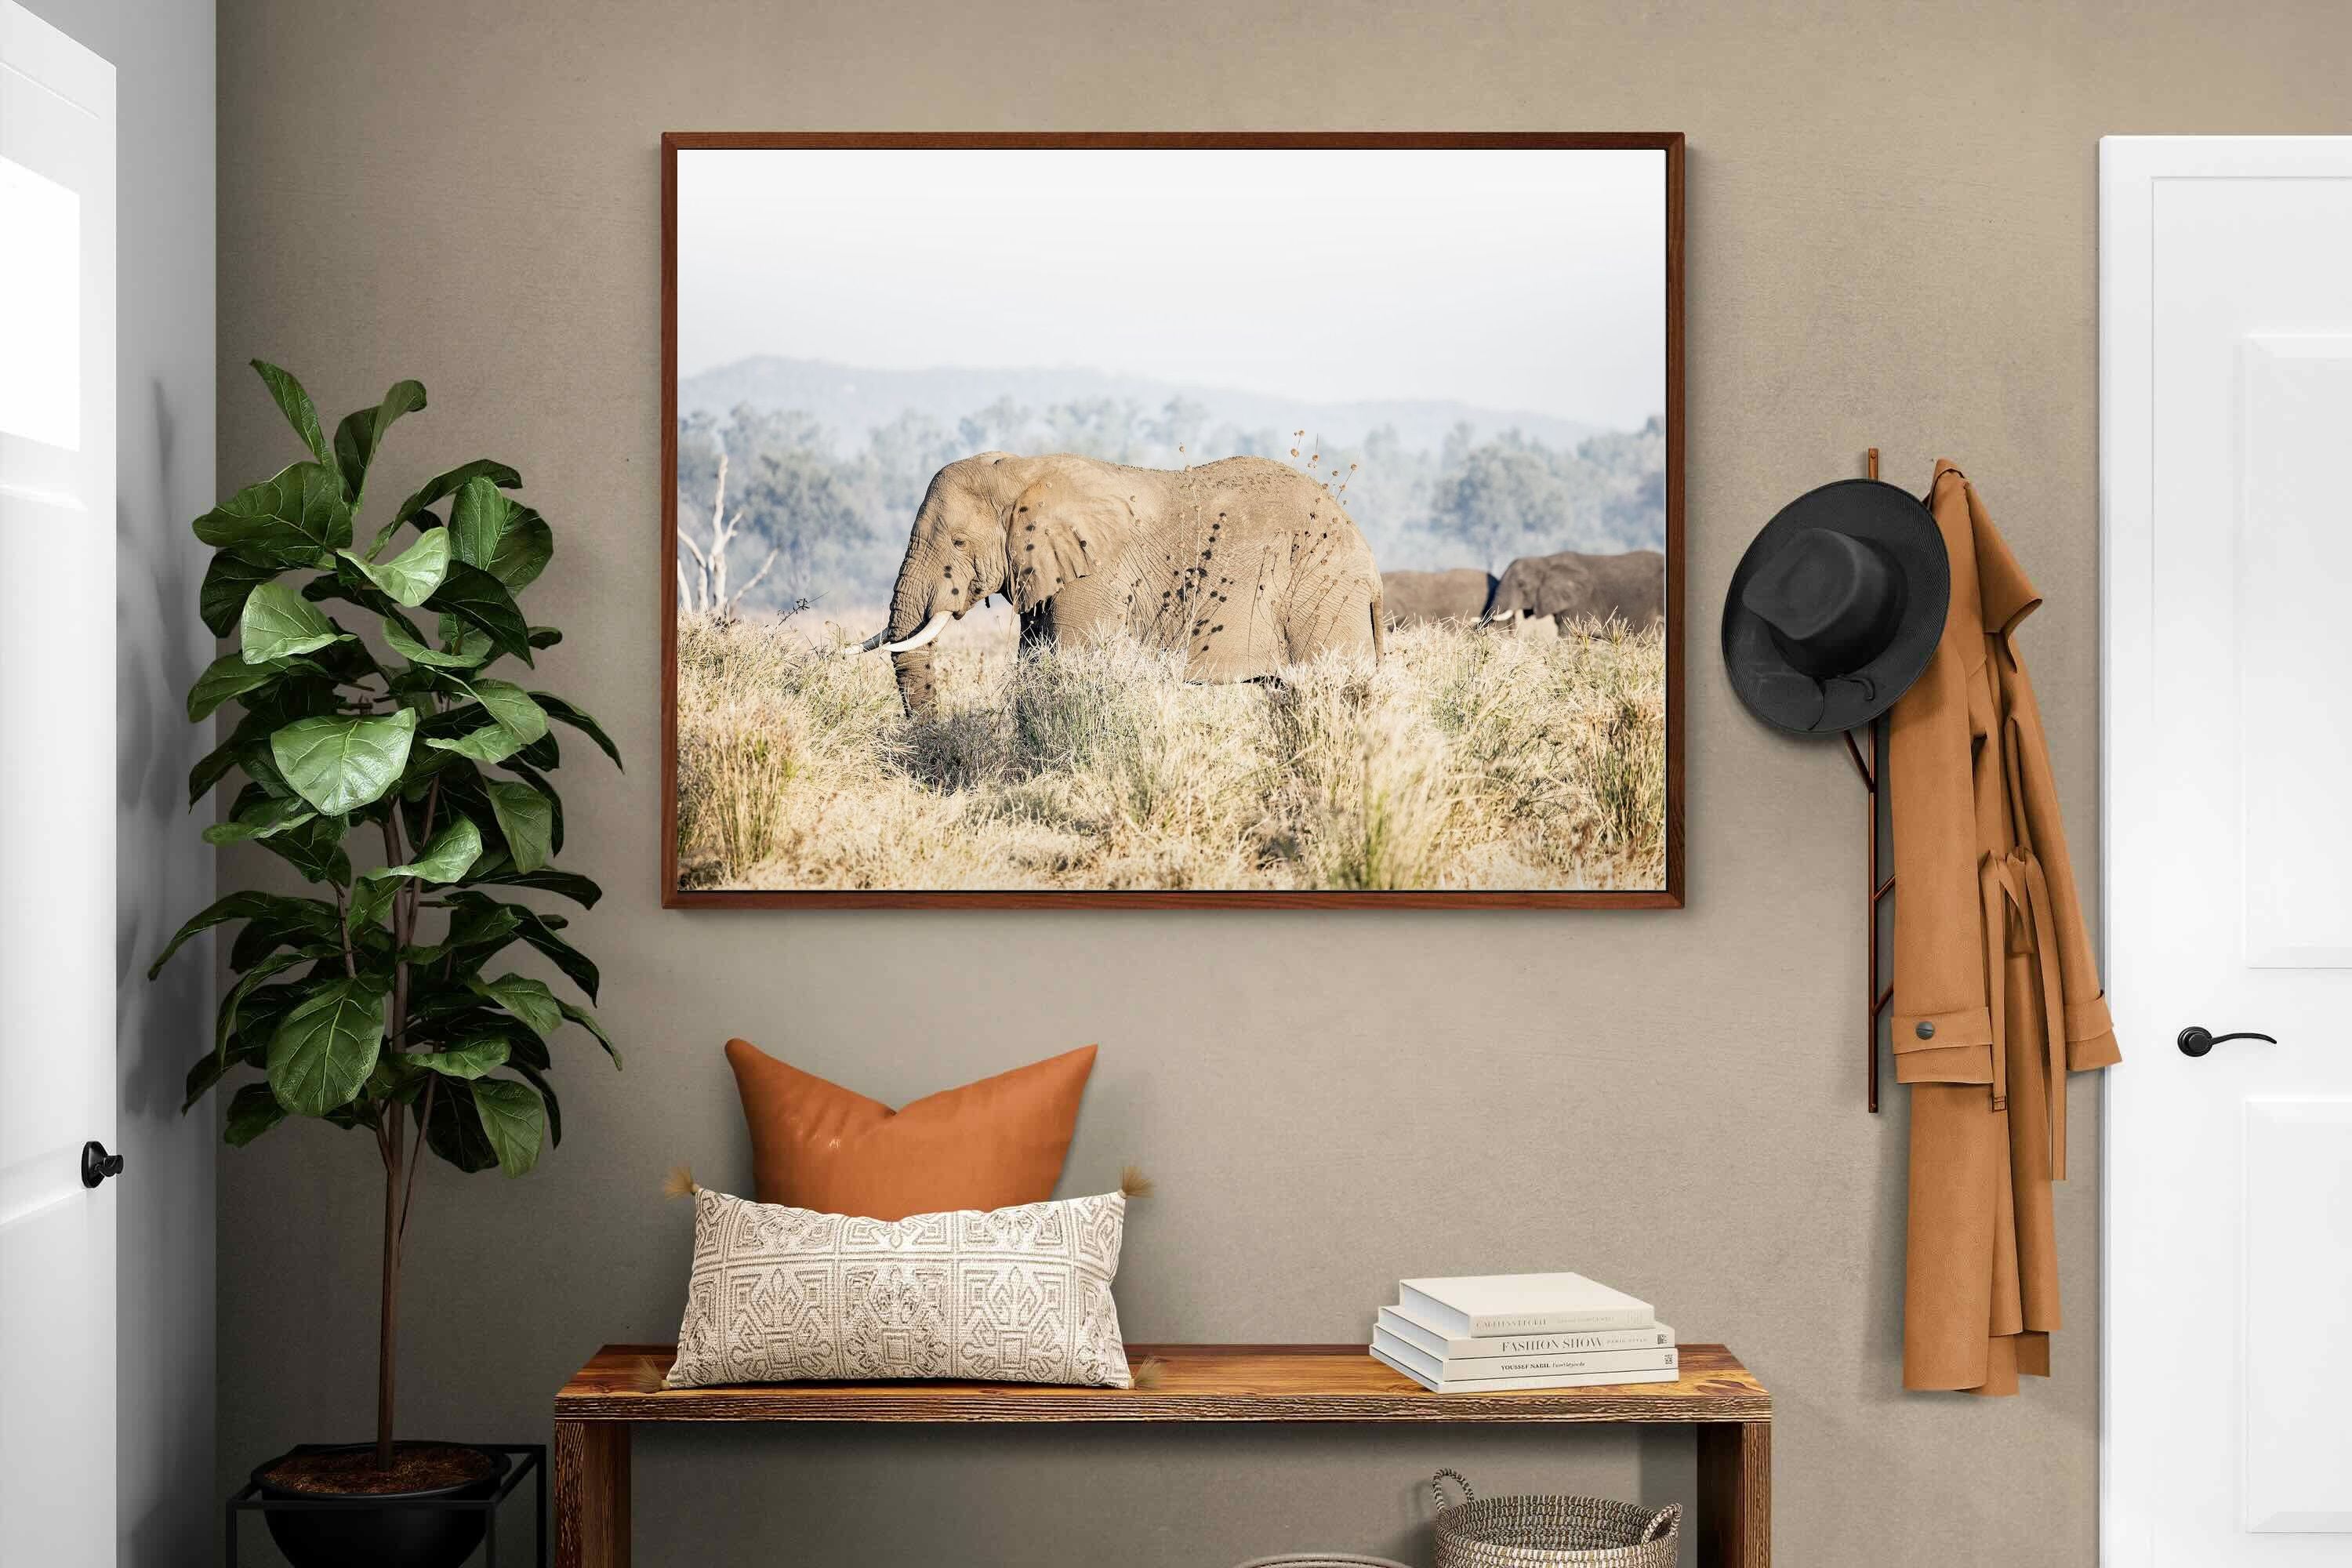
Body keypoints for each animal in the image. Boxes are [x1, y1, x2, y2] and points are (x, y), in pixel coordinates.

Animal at [857, 453, 1385, 714]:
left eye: (959, 541)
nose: (932, 742)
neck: (1024, 469)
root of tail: (1370, 563)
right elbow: (1034, 665)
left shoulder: (1096, 575)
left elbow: (1069, 664)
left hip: (1322, 595)